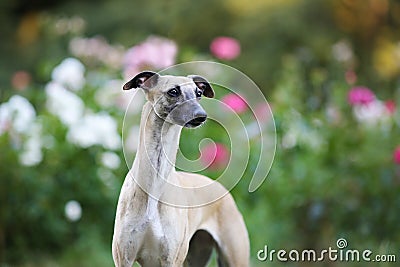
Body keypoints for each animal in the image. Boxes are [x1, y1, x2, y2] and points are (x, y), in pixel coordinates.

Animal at [112, 71, 248, 267]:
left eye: (199, 93)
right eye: (173, 91)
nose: (201, 115)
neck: (155, 185)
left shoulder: (171, 259)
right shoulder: (124, 257)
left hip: (233, 254)